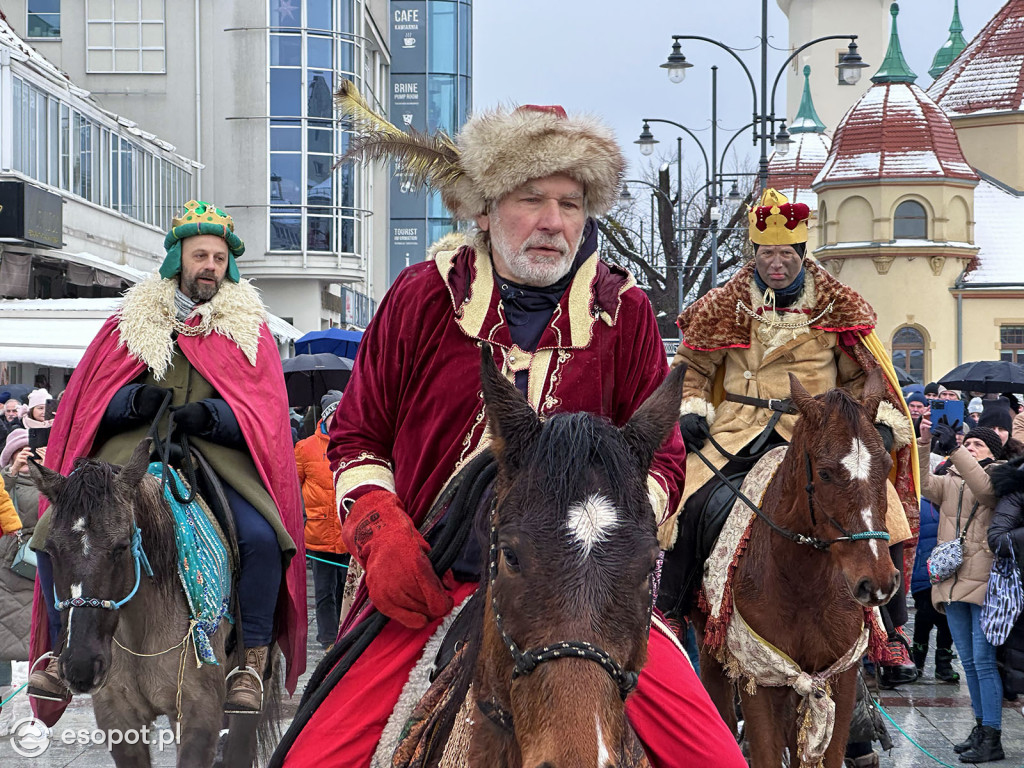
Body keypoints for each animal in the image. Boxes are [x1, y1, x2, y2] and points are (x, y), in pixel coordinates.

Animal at [692, 370, 901, 765]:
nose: (878, 581)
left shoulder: (839, 677)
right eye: (826, 473)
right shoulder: (760, 677)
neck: (804, 582)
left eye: (885, 464)